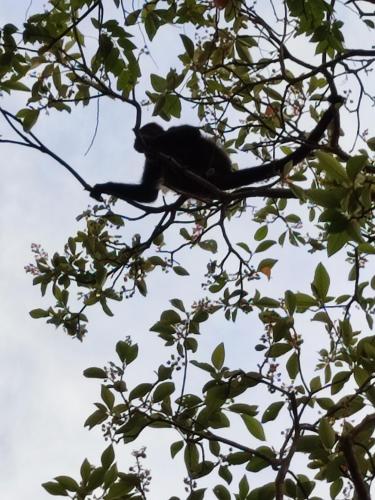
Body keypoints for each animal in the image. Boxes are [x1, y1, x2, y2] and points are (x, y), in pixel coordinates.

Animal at [91, 99, 340, 203]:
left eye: (138, 139)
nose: (135, 145)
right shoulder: (153, 159)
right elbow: (148, 194)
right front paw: (102, 187)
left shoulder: (163, 143)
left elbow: (190, 132)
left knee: (197, 142)